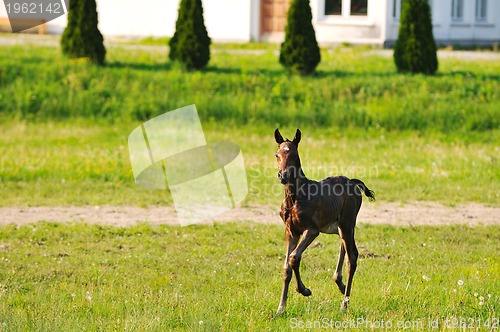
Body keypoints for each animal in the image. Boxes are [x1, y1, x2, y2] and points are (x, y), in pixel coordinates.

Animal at [274, 128, 376, 316]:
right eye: (277, 154)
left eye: (293, 154)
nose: (282, 175)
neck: (295, 197)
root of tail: (353, 182)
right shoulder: (290, 231)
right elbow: (286, 268)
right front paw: (280, 309)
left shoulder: (312, 229)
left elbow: (294, 257)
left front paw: (304, 290)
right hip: (337, 226)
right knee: (346, 248)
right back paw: (341, 284)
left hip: (347, 222)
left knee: (352, 257)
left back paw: (344, 304)